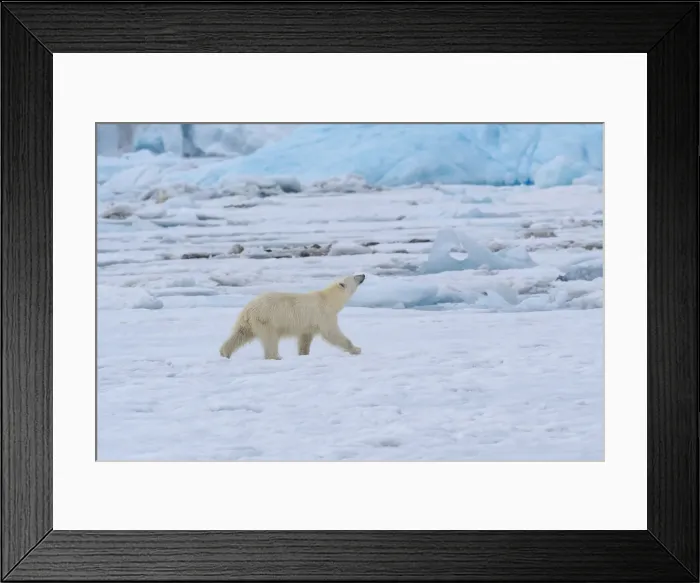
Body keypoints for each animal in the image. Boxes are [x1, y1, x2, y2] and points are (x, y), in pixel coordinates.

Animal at [219, 274, 365, 360]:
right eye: (354, 277)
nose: (363, 275)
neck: (329, 300)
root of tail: (249, 308)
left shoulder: (309, 323)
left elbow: (305, 339)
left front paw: (303, 354)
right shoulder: (323, 315)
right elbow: (331, 333)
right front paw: (356, 349)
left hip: (249, 321)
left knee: (240, 334)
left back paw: (225, 352)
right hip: (267, 320)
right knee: (270, 339)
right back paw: (276, 357)